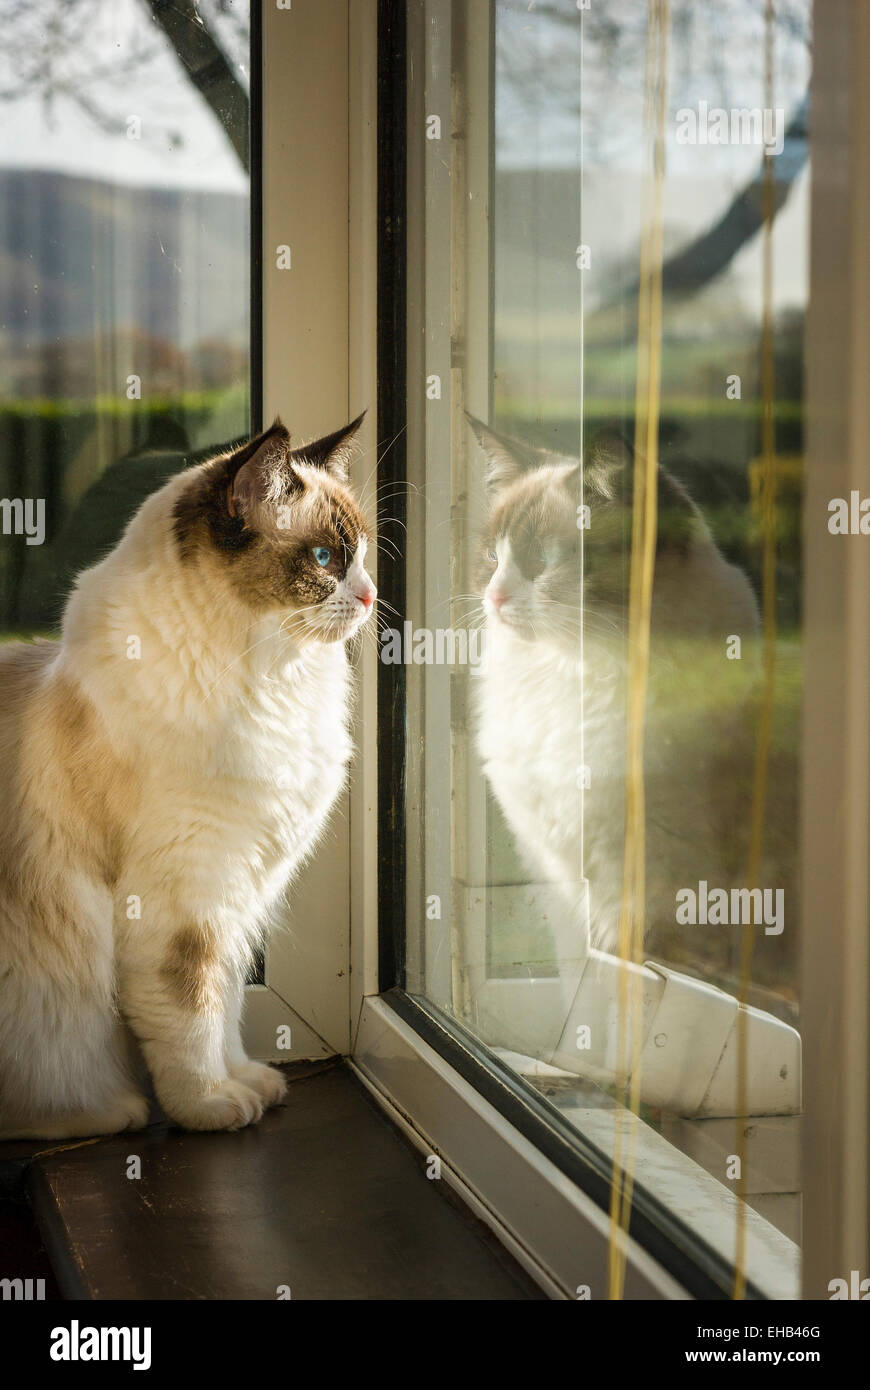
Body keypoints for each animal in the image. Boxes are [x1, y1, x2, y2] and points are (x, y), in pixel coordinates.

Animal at [0, 414, 372, 1139]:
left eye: (365, 553)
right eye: (324, 560)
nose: (372, 595)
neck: (274, 685)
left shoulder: (239, 892)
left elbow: (224, 1005)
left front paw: (248, 1081)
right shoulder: (186, 894)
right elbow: (190, 1011)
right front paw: (211, 1107)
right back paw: (107, 1113)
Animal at [466, 411, 794, 978]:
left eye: (541, 561)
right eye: (492, 557)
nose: (494, 597)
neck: (570, 671)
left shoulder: (658, 890)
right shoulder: (560, 881)